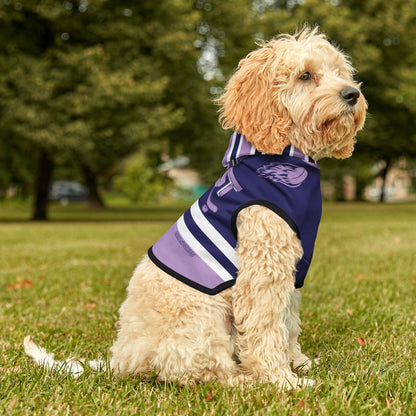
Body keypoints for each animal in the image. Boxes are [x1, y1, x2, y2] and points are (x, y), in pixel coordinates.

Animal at [24, 27, 366, 388]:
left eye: (340, 72)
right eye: (305, 75)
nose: (352, 94)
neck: (282, 157)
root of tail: (122, 359)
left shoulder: (291, 268)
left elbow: (288, 322)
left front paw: (298, 362)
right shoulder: (263, 269)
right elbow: (266, 327)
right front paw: (281, 379)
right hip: (202, 316)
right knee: (201, 371)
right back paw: (244, 380)